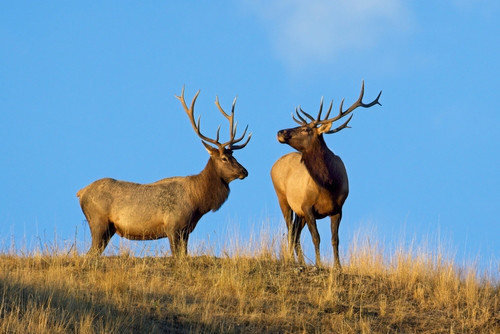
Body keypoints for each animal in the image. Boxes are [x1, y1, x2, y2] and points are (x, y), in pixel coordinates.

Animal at [76, 88, 252, 256]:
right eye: (224, 158)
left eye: (234, 155)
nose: (245, 171)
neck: (198, 202)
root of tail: (81, 192)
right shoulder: (173, 226)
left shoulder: (186, 231)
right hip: (98, 222)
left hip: (108, 229)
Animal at [272, 81, 380, 268]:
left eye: (306, 129)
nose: (280, 132)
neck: (329, 184)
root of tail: (274, 164)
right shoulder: (307, 206)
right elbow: (316, 237)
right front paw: (319, 264)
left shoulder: (338, 208)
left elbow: (335, 239)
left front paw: (338, 267)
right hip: (283, 198)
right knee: (290, 231)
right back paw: (292, 259)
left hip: (298, 211)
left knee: (295, 233)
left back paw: (301, 261)